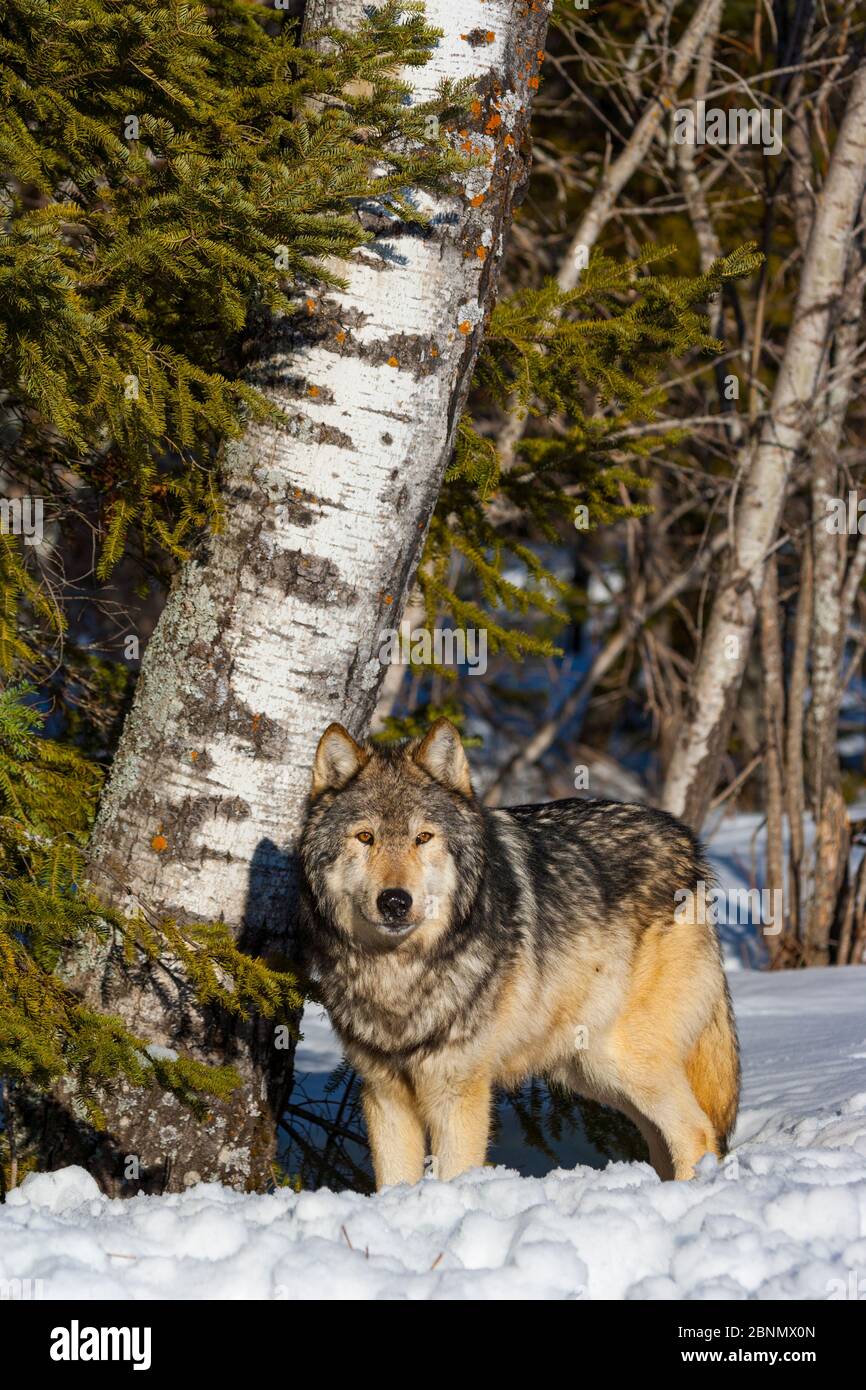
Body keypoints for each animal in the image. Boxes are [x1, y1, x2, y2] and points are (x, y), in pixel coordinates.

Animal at [297, 722, 739, 1189]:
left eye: (423, 838)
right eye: (366, 837)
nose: (395, 902)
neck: (400, 973)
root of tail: (688, 845)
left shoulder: (459, 1092)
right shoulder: (384, 1095)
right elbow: (394, 1183)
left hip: (624, 1059)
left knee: (697, 1130)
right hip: (591, 1070)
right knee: (661, 1137)